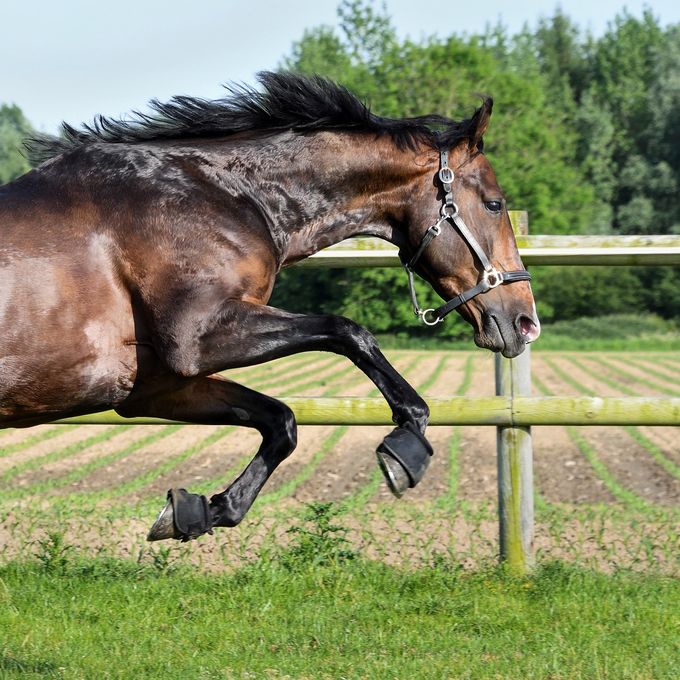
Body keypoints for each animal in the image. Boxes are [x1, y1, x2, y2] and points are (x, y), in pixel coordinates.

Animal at [2, 71, 540, 540]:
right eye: (494, 203)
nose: (525, 323)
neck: (223, 194)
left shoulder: (155, 387)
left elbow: (281, 421)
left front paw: (196, 511)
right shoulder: (197, 340)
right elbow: (348, 331)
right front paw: (404, 453)